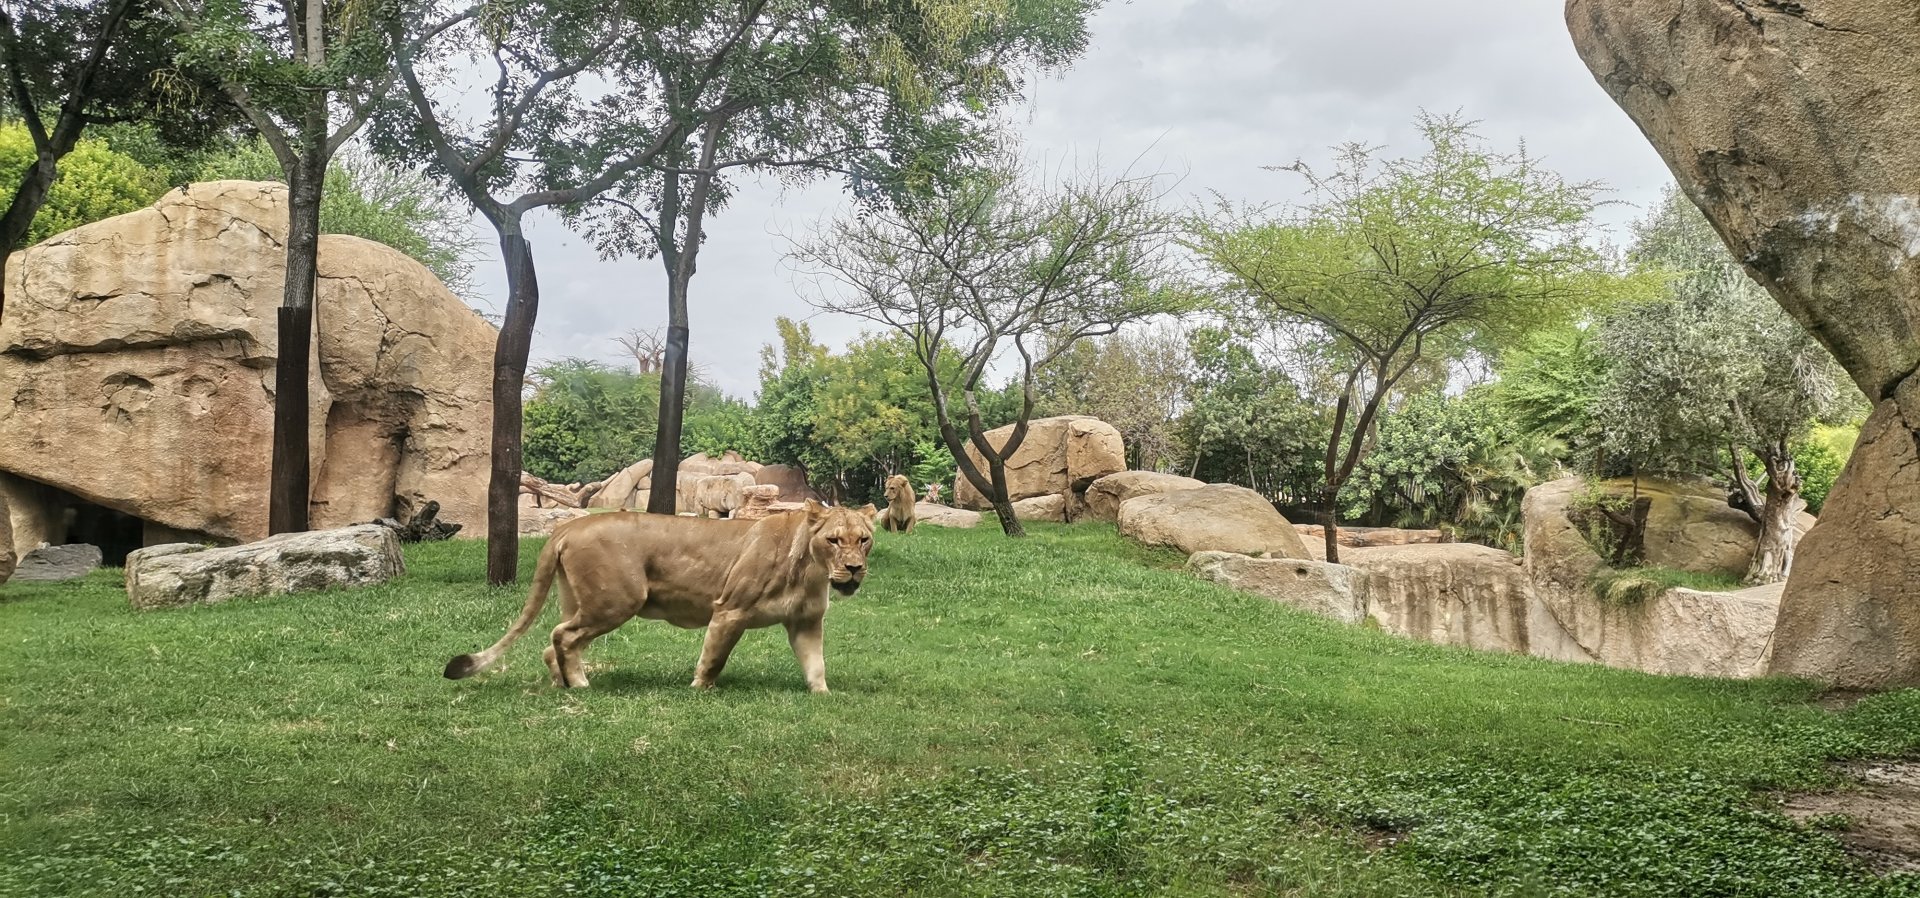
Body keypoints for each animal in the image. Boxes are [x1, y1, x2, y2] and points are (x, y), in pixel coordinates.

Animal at [443, 499, 877, 693]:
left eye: (864, 539)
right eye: (834, 540)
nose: (854, 568)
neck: (811, 569)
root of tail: (566, 528)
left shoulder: (805, 621)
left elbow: (816, 663)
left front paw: (822, 695)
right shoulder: (730, 610)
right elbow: (714, 657)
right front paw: (700, 690)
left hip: (580, 601)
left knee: (555, 642)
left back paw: (561, 684)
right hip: (616, 600)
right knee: (563, 637)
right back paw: (581, 685)